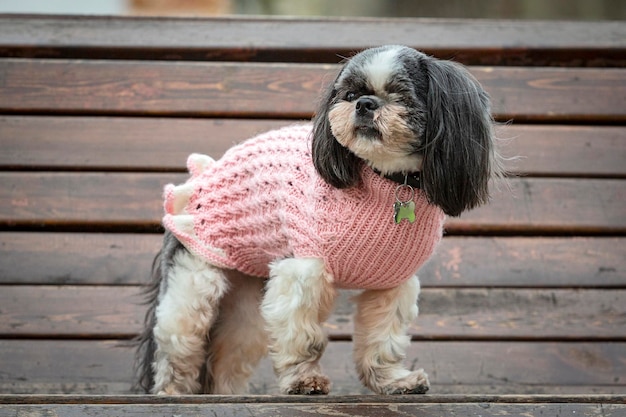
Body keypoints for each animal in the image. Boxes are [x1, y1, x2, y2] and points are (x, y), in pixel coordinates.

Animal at [133, 44, 502, 394]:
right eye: (349, 95)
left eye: (402, 95)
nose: (365, 104)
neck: (386, 179)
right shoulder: (303, 271)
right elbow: (301, 336)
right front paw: (304, 380)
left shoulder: (392, 285)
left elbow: (383, 340)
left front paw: (393, 381)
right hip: (194, 281)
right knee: (178, 344)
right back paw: (171, 390)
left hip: (246, 303)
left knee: (228, 354)